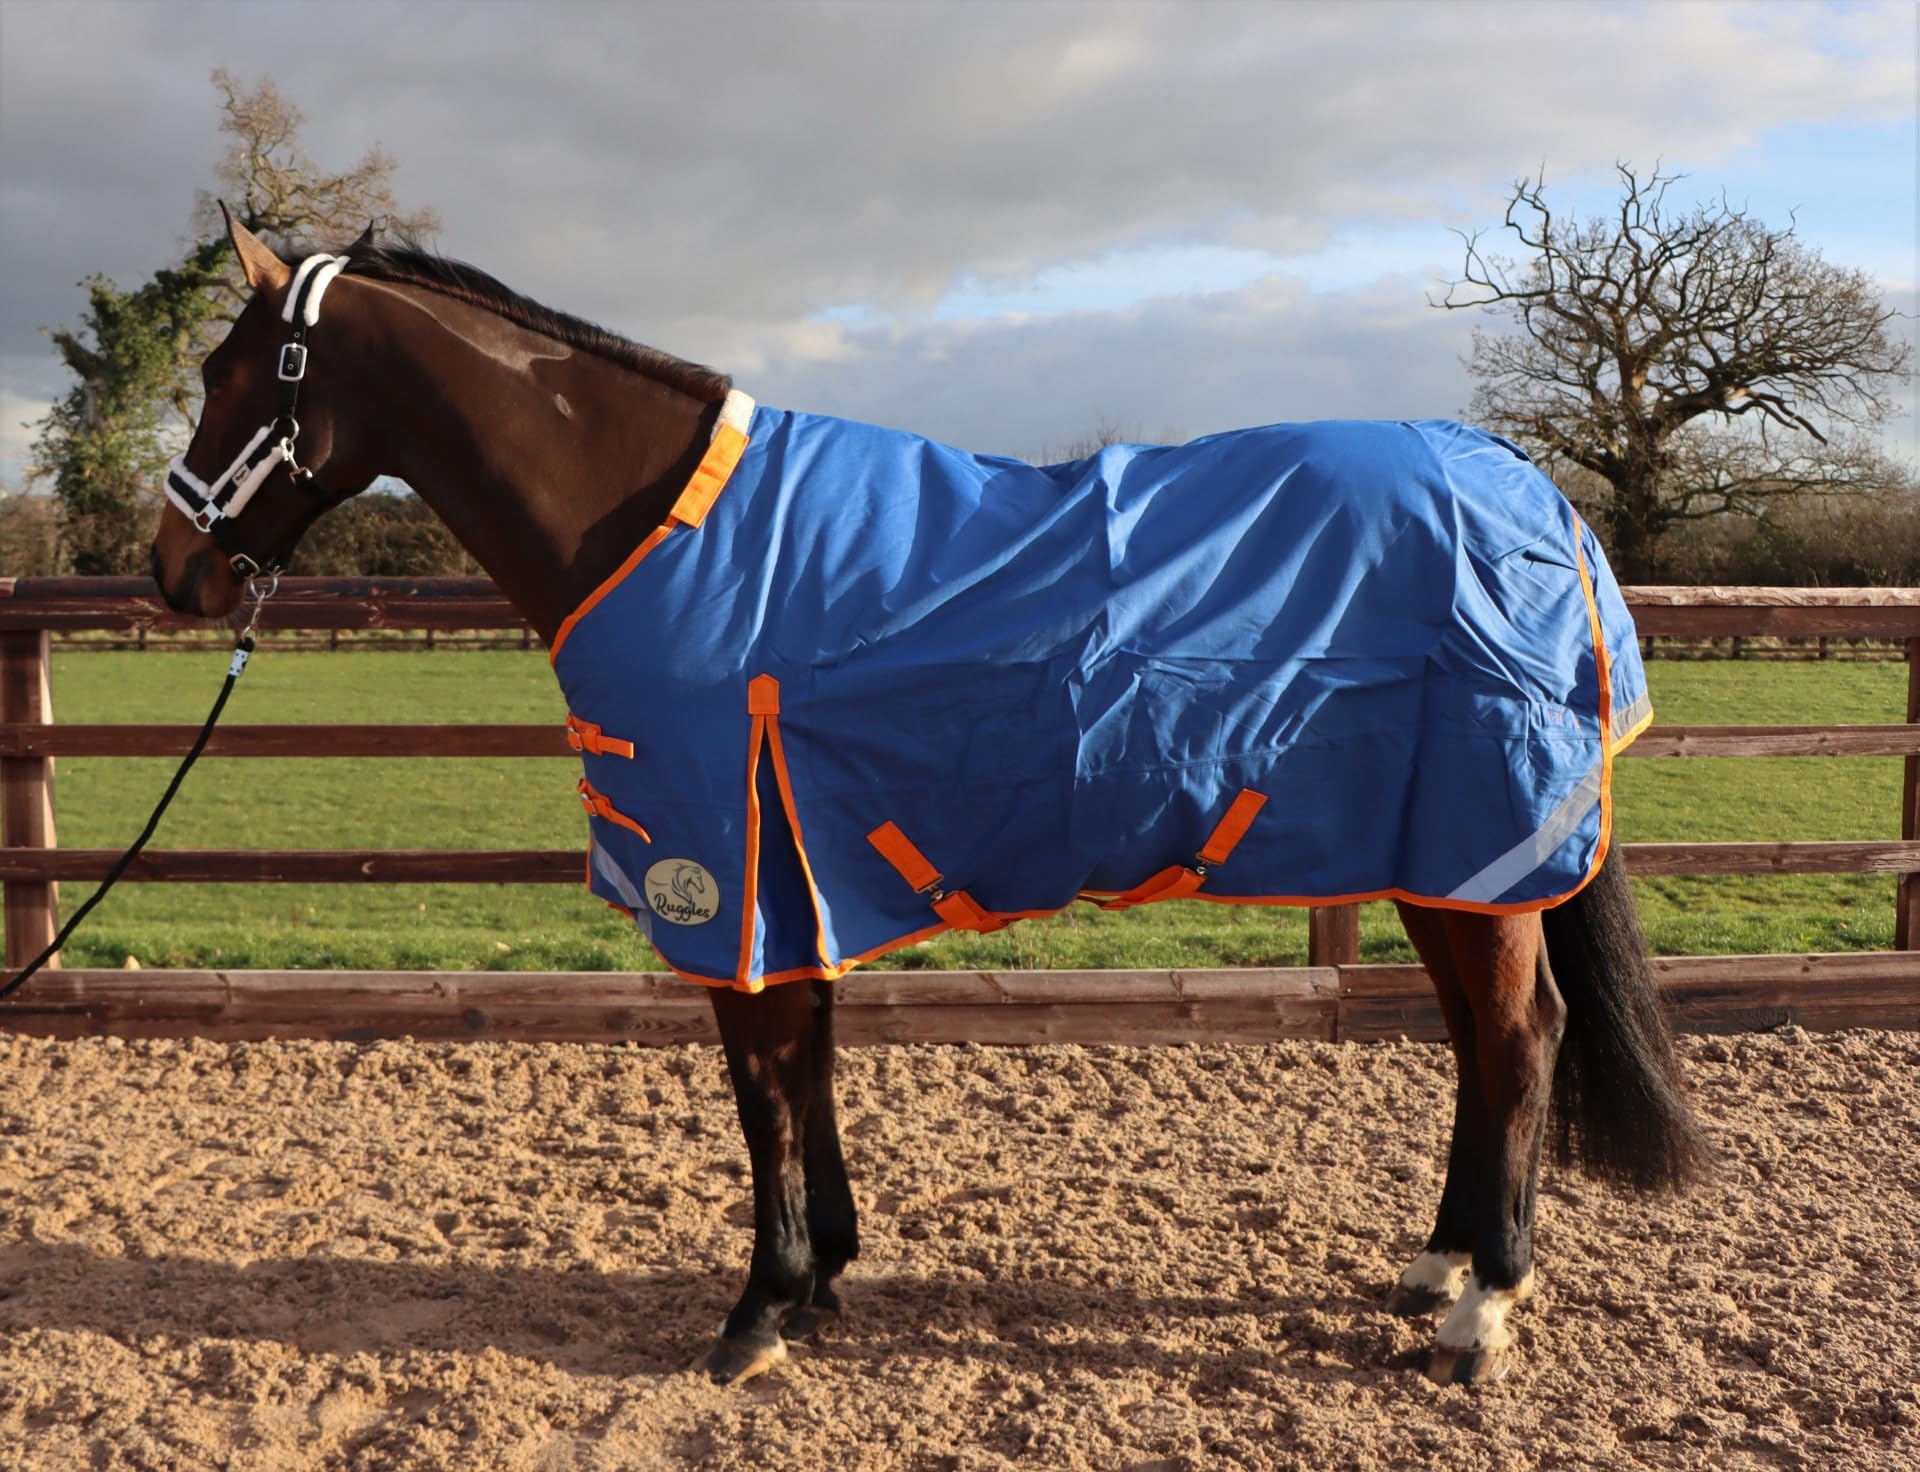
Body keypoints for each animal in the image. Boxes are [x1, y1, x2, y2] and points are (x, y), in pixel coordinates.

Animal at [150, 211, 1710, 1388]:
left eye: (233, 375)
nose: (174, 572)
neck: (665, 531)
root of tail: (1526, 490)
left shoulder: (726, 867)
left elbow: (764, 1086)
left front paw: (759, 1310)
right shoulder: (797, 867)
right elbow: (809, 1068)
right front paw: (825, 1275)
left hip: (1480, 851)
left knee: (1520, 1039)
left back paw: (1482, 1310)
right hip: (1444, 859)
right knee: (1479, 1047)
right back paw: (1436, 1265)